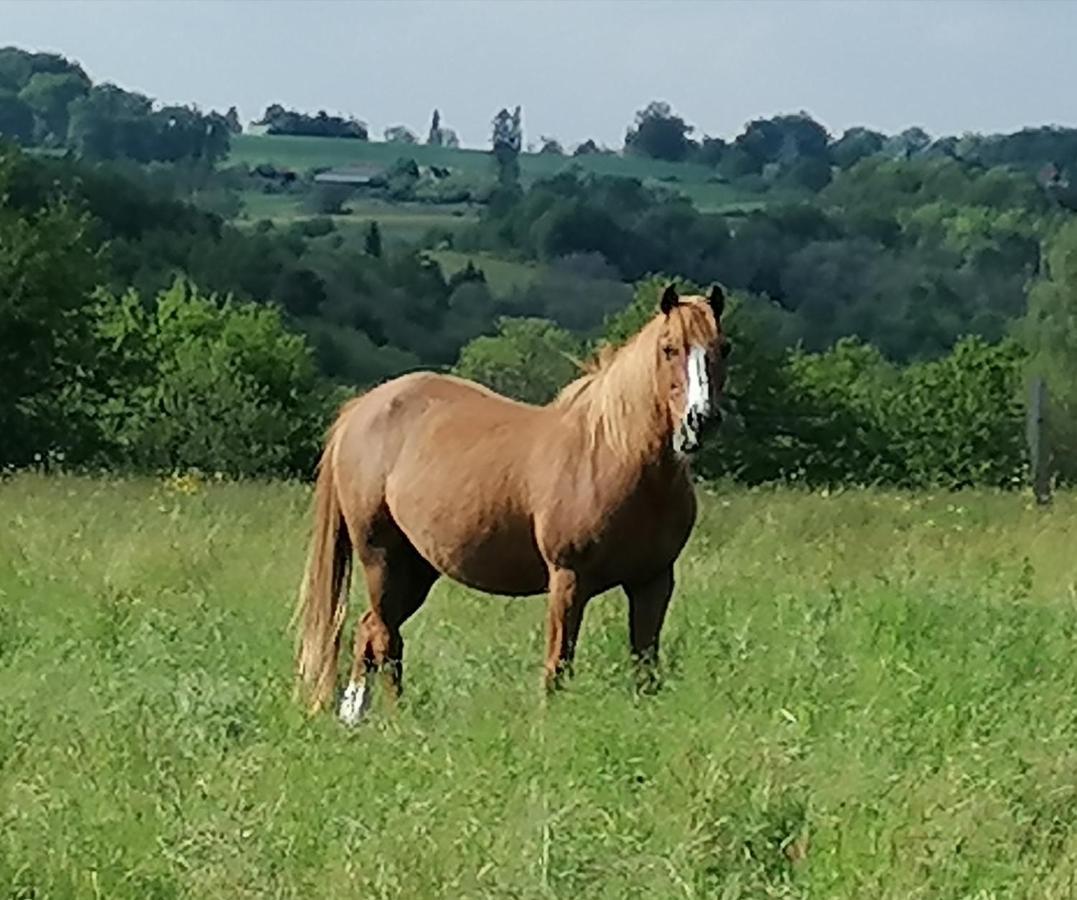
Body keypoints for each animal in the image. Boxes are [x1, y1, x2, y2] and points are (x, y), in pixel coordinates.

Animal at [295, 284, 732, 727]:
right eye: (669, 348)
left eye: (724, 347)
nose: (701, 420)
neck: (616, 455)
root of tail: (360, 409)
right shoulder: (568, 580)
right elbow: (558, 666)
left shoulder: (653, 582)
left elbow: (645, 666)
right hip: (381, 557)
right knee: (385, 638)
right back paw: (395, 719)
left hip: (417, 568)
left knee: (370, 629)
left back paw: (354, 715)